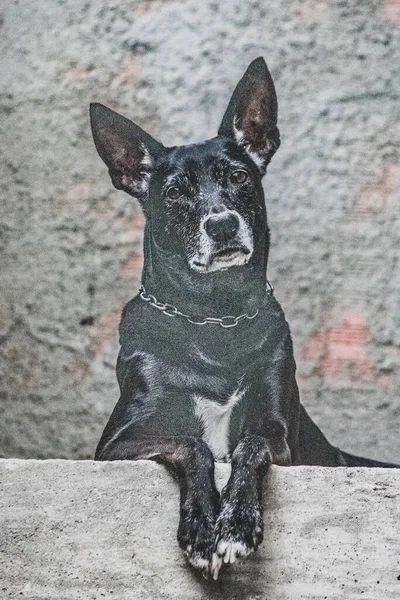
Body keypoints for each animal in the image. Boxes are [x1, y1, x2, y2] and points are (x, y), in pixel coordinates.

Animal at [89, 58, 398, 580]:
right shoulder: (117, 443)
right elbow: (189, 444)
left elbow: (248, 448)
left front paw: (234, 527)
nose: (221, 225)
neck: (216, 320)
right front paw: (201, 529)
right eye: (174, 192)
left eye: (238, 176)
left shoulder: (278, 433)